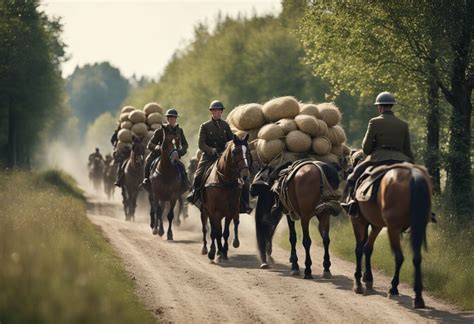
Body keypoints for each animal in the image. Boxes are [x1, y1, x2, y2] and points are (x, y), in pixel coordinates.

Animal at [200, 134, 252, 264]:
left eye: (247, 151)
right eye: (234, 151)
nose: (245, 175)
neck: (224, 181)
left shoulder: (230, 211)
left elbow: (225, 233)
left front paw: (224, 252)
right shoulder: (215, 212)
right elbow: (216, 232)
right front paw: (216, 253)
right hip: (205, 211)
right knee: (206, 228)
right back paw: (206, 249)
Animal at [346, 149, 432, 308]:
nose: (348, 170)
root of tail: (413, 174)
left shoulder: (358, 221)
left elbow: (359, 249)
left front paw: (358, 282)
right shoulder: (377, 225)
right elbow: (368, 248)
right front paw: (368, 278)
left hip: (393, 228)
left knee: (399, 257)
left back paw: (393, 288)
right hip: (415, 227)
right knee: (416, 258)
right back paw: (418, 297)